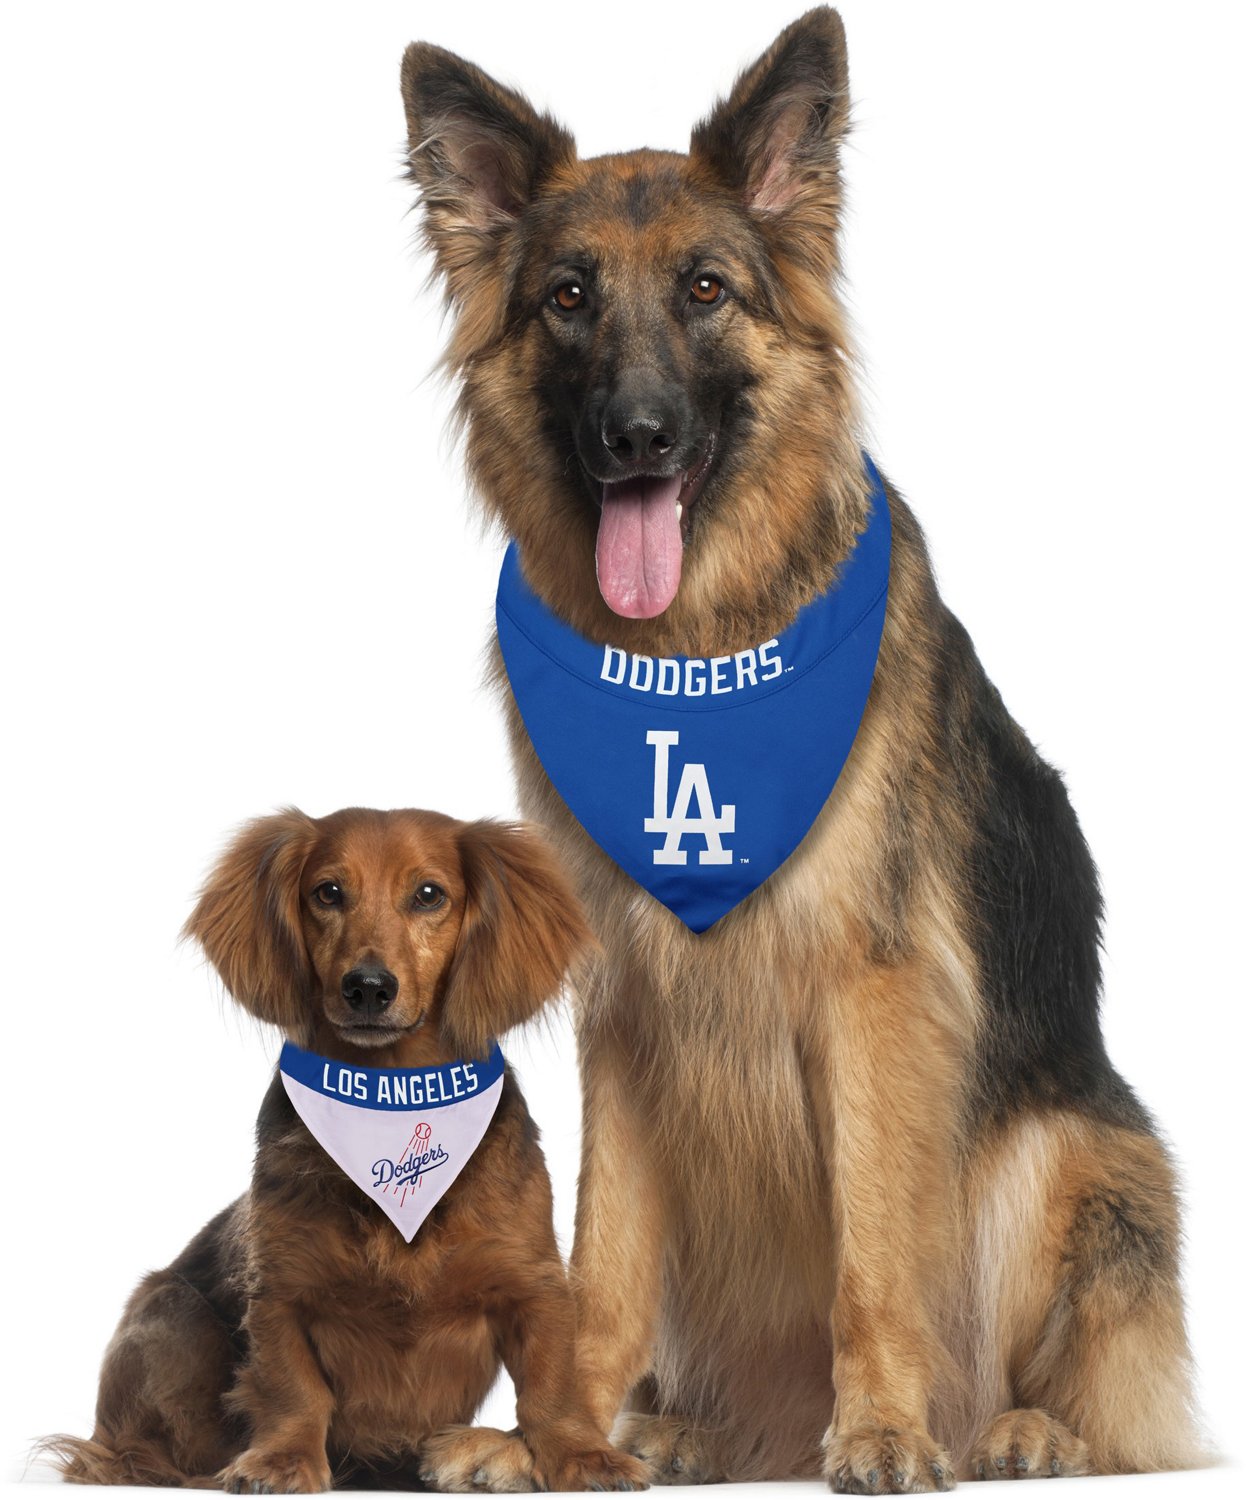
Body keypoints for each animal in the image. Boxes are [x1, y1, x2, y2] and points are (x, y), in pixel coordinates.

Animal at [43, 810, 647, 1488]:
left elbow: (552, 1388)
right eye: (328, 892)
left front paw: (583, 1456)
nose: (368, 987)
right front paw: (281, 1460)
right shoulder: (280, 1289)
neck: (391, 1098)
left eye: (429, 894)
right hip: (174, 1315)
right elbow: (293, 1389)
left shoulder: (533, 1284)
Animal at [398, 8, 1211, 1488]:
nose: (636, 436)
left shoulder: (870, 992)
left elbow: (874, 1254)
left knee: (1089, 1387)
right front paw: (557, 1438)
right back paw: (679, 1430)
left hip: (1068, 1153)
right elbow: (601, 1255)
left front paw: (883, 1426)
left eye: (708, 289)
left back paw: (1010, 1429)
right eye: (567, 298)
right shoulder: (627, 1008)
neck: (698, 651)